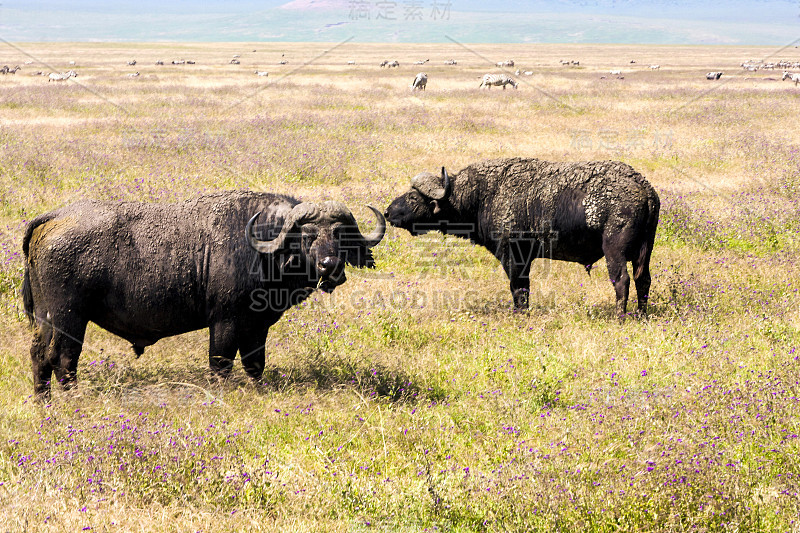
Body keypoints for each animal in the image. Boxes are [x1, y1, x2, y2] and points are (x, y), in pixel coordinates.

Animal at [23, 191, 386, 400]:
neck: (261, 245)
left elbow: (255, 364)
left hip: (45, 319)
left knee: (40, 354)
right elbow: (221, 363)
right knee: (63, 358)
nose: (330, 265)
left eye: (340, 234)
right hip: (70, 319)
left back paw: (43, 401)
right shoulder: (225, 322)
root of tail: (52, 218)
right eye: (308, 235)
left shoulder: (257, 326)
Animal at [384, 157, 660, 316]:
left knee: (622, 280)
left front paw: (520, 314)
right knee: (642, 280)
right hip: (644, 253)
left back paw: (620, 316)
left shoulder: (513, 256)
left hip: (615, 251)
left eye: (413, 196)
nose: (387, 212)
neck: (483, 195)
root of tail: (644, 189)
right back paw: (641, 314)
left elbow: (518, 288)